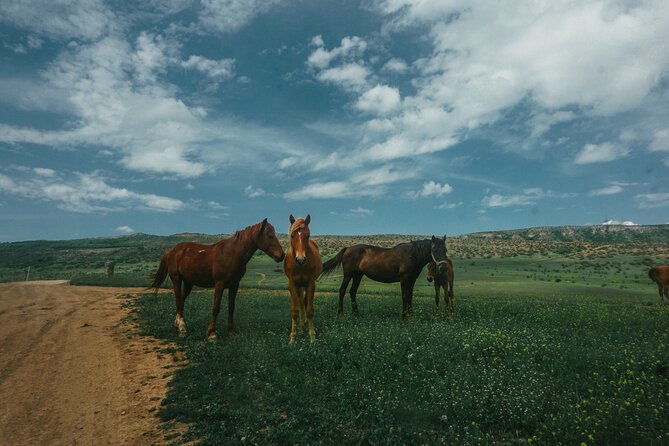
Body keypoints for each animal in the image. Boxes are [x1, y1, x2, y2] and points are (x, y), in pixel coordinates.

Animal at [148, 218, 285, 340]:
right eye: (270, 235)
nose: (281, 255)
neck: (232, 254)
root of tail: (171, 251)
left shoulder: (234, 285)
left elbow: (231, 307)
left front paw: (230, 331)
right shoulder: (220, 284)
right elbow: (216, 308)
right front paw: (211, 334)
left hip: (188, 283)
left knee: (181, 301)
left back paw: (178, 325)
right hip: (176, 279)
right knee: (178, 300)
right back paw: (182, 328)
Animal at [283, 214, 322, 343]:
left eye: (308, 235)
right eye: (292, 235)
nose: (300, 259)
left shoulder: (311, 284)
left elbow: (309, 310)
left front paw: (312, 337)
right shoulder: (292, 284)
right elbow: (295, 310)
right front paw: (293, 338)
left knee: (304, 303)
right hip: (299, 286)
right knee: (300, 304)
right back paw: (300, 328)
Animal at [320, 236, 449, 317]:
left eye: (446, 250)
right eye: (434, 249)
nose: (443, 268)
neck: (412, 255)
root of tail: (347, 249)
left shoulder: (412, 279)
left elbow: (410, 296)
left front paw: (410, 315)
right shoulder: (404, 278)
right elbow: (405, 296)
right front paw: (404, 316)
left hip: (358, 275)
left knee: (352, 291)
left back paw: (356, 314)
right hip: (348, 275)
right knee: (342, 290)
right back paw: (341, 314)